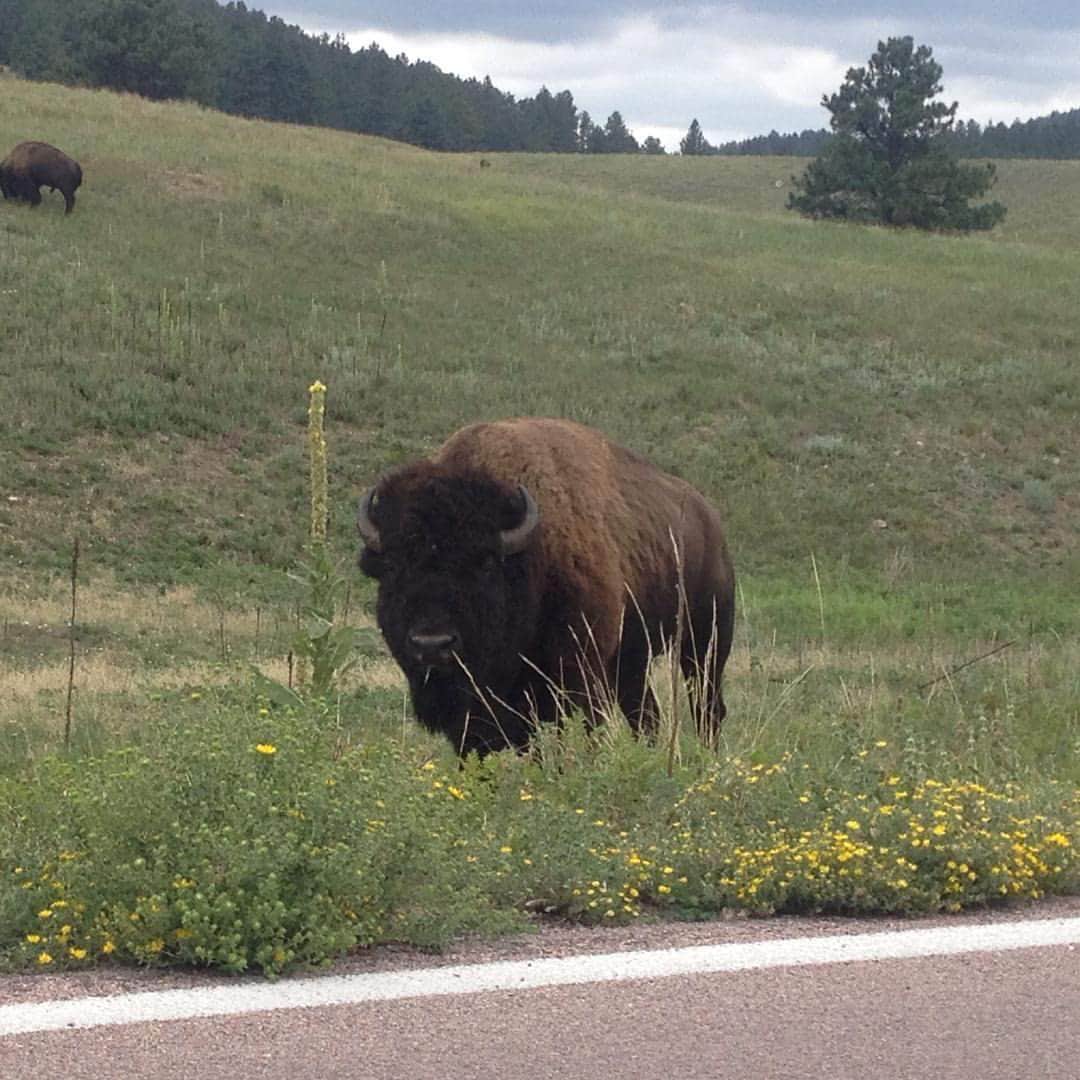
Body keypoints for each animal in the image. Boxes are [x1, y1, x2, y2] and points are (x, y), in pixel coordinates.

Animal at [357, 418, 735, 756]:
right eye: (392, 566)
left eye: (485, 563)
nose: (432, 644)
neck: (531, 559)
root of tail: (709, 517)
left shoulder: (579, 676)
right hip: (632, 657)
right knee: (645, 714)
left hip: (704, 641)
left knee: (706, 707)